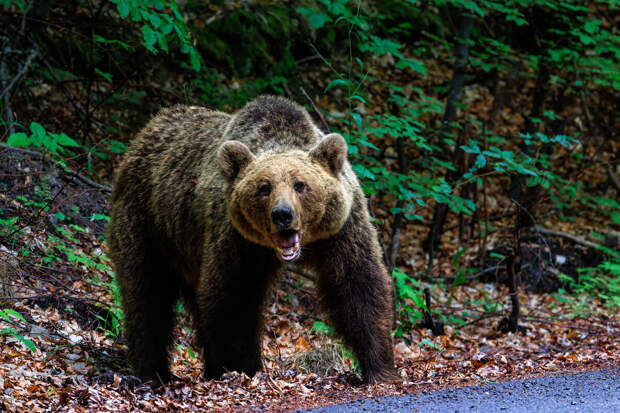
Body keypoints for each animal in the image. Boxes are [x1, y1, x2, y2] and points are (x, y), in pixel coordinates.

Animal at [106, 96, 398, 384]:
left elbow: (358, 284)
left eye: (300, 185)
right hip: (147, 223)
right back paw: (154, 371)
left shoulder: (341, 229)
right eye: (264, 187)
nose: (282, 214)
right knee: (147, 293)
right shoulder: (237, 238)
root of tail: (145, 133)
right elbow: (234, 296)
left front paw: (378, 367)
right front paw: (243, 366)